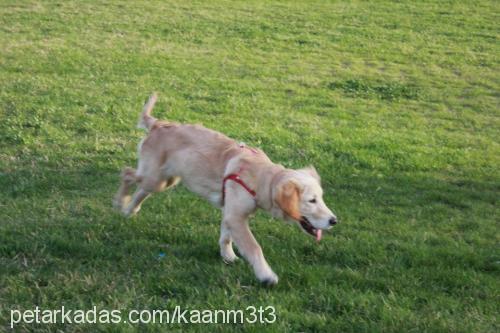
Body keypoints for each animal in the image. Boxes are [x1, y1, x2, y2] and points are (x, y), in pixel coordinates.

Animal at [115, 92, 338, 282]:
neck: (261, 177)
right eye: (311, 200)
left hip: (165, 180)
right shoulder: (237, 216)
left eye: (321, 198)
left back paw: (130, 209)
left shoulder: (230, 211)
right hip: (154, 177)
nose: (334, 221)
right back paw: (121, 202)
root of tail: (158, 124)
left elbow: (226, 236)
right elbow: (254, 247)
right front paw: (266, 275)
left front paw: (228, 256)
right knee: (127, 173)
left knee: (141, 190)